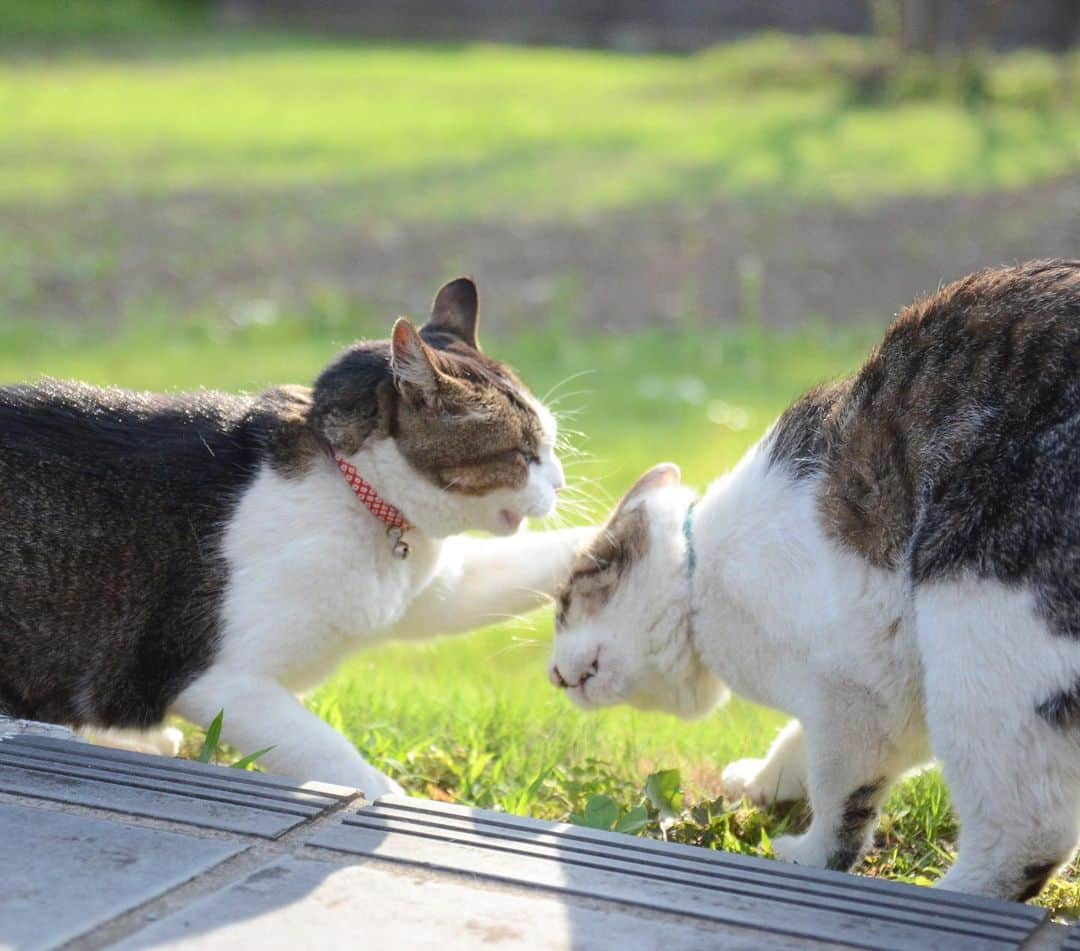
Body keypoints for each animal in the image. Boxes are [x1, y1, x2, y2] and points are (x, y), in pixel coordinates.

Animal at [2, 278, 591, 798]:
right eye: (524, 453)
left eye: (550, 446)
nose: (561, 483)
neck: (359, 499)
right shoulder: (223, 683)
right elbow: (330, 754)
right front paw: (386, 795)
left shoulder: (435, 590)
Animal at [552, 260, 1080, 898]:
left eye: (563, 602)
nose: (552, 674)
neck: (701, 582)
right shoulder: (893, 699)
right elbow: (797, 743)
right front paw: (762, 782)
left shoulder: (856, 696)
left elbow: (839, 796)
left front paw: (809, 856)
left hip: (983, 628)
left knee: (1026, 832)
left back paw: (949, 896)